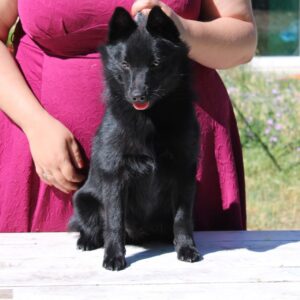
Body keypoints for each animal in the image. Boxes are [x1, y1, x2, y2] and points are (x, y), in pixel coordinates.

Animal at [70, 5, 200, 270]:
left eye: (156, 63)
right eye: (125, 63)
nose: (138, 96)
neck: (149, 120)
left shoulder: (184, 171)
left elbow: (182, 218)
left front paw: (186, 248)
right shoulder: (115, 175)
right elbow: (114, 222)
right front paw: (113, 256)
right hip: (83, 200)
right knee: (92, 226)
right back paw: (87, 241)